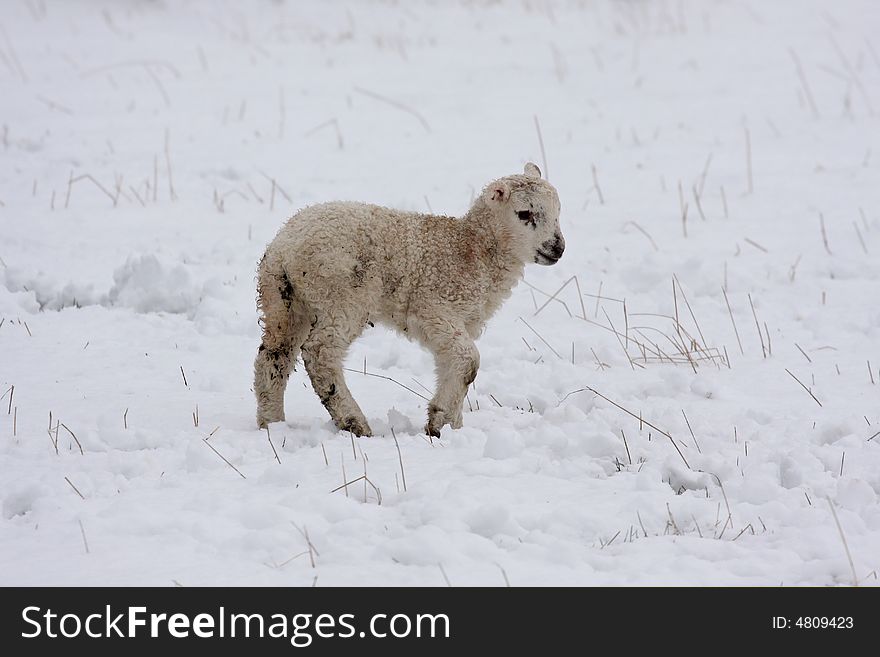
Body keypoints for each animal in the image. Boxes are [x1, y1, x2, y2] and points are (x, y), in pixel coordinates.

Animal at [253, 163, 564, 436]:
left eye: (558, 211)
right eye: (524, 213)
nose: (558, 247)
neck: (473, 249)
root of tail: (284, 246)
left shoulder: (458, 322)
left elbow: (454, 364)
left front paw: (449, 426)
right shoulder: (435, 309)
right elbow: (469, 361)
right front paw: (441, 423)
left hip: (284, 300)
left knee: (273, 357)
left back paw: (272, 423)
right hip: (340, 295)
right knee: (320, 353)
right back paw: (354, 423)